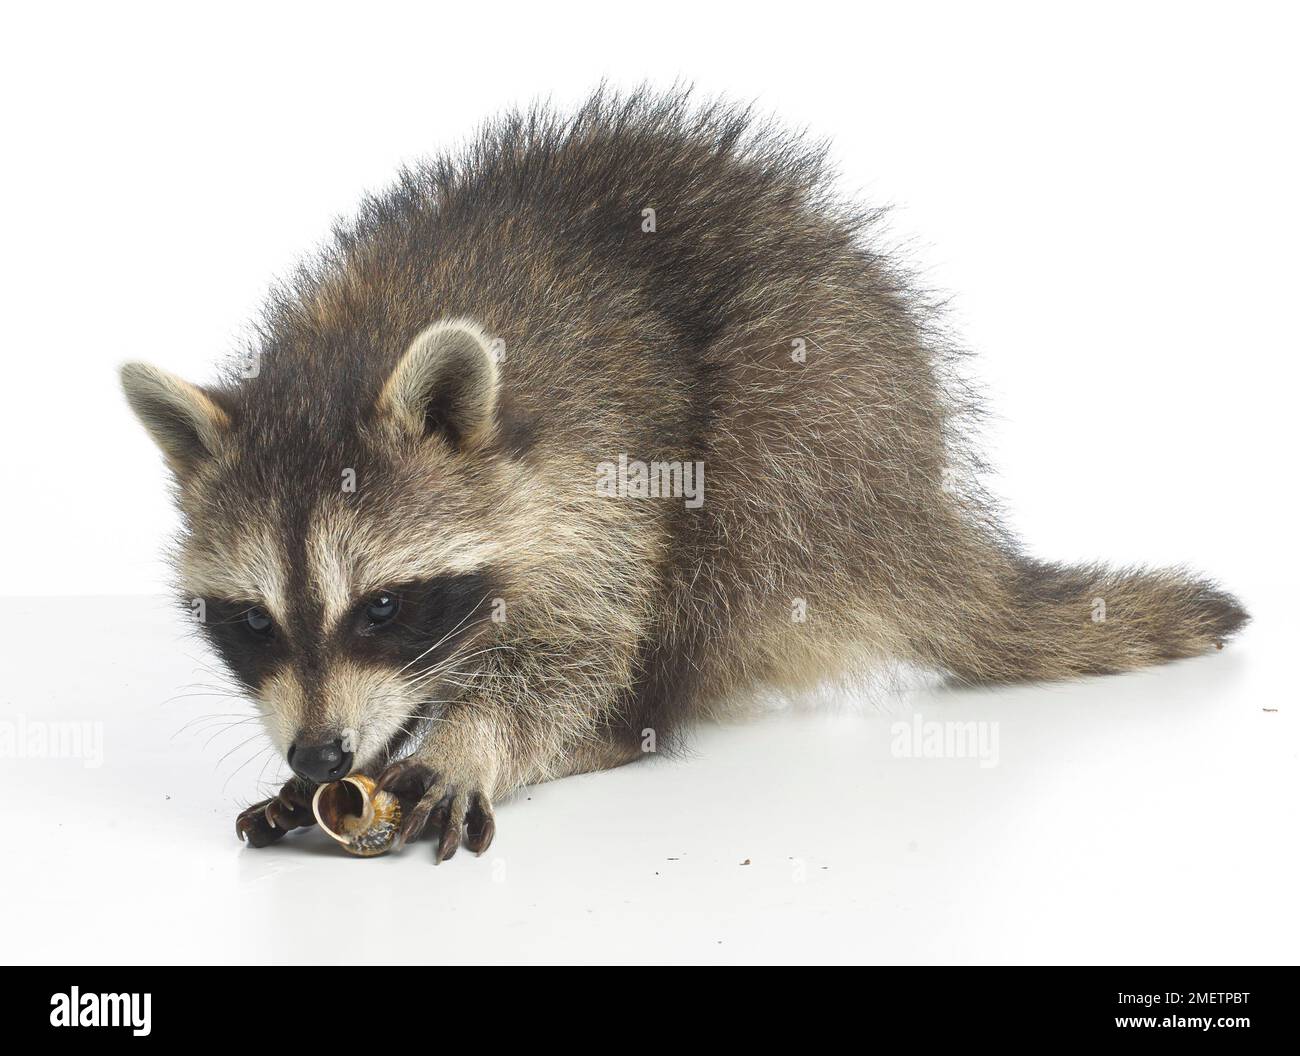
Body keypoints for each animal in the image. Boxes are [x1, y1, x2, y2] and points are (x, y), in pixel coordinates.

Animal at [120, 88, 1247, 862]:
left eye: (385, 607)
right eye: (251, 621)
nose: (319, 758)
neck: (348, 348)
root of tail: (915, 502)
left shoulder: (594, 470)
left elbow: (582, 638)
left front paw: (480, 738)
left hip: (819, 427)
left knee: (728, 546)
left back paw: (621, 727)